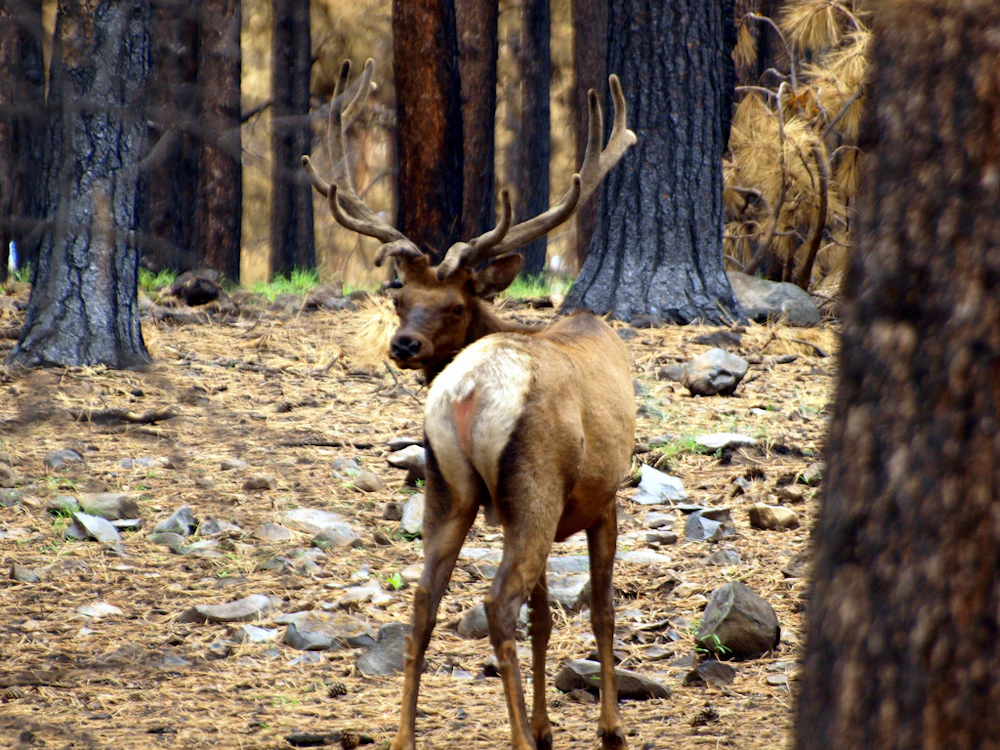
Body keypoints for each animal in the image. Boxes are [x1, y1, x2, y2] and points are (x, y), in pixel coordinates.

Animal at [302, 59, 638, 750]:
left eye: (451, 304)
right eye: (401, 299)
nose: (402, 344)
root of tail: (466, 391)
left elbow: (545, 618)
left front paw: (546, 727)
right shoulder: (605, 495)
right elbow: (599, 611)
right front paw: (607, 729)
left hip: (448, 485)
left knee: (423, 604)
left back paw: (404, 738)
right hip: (535, 482)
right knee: (496, 603)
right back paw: (514, 738)